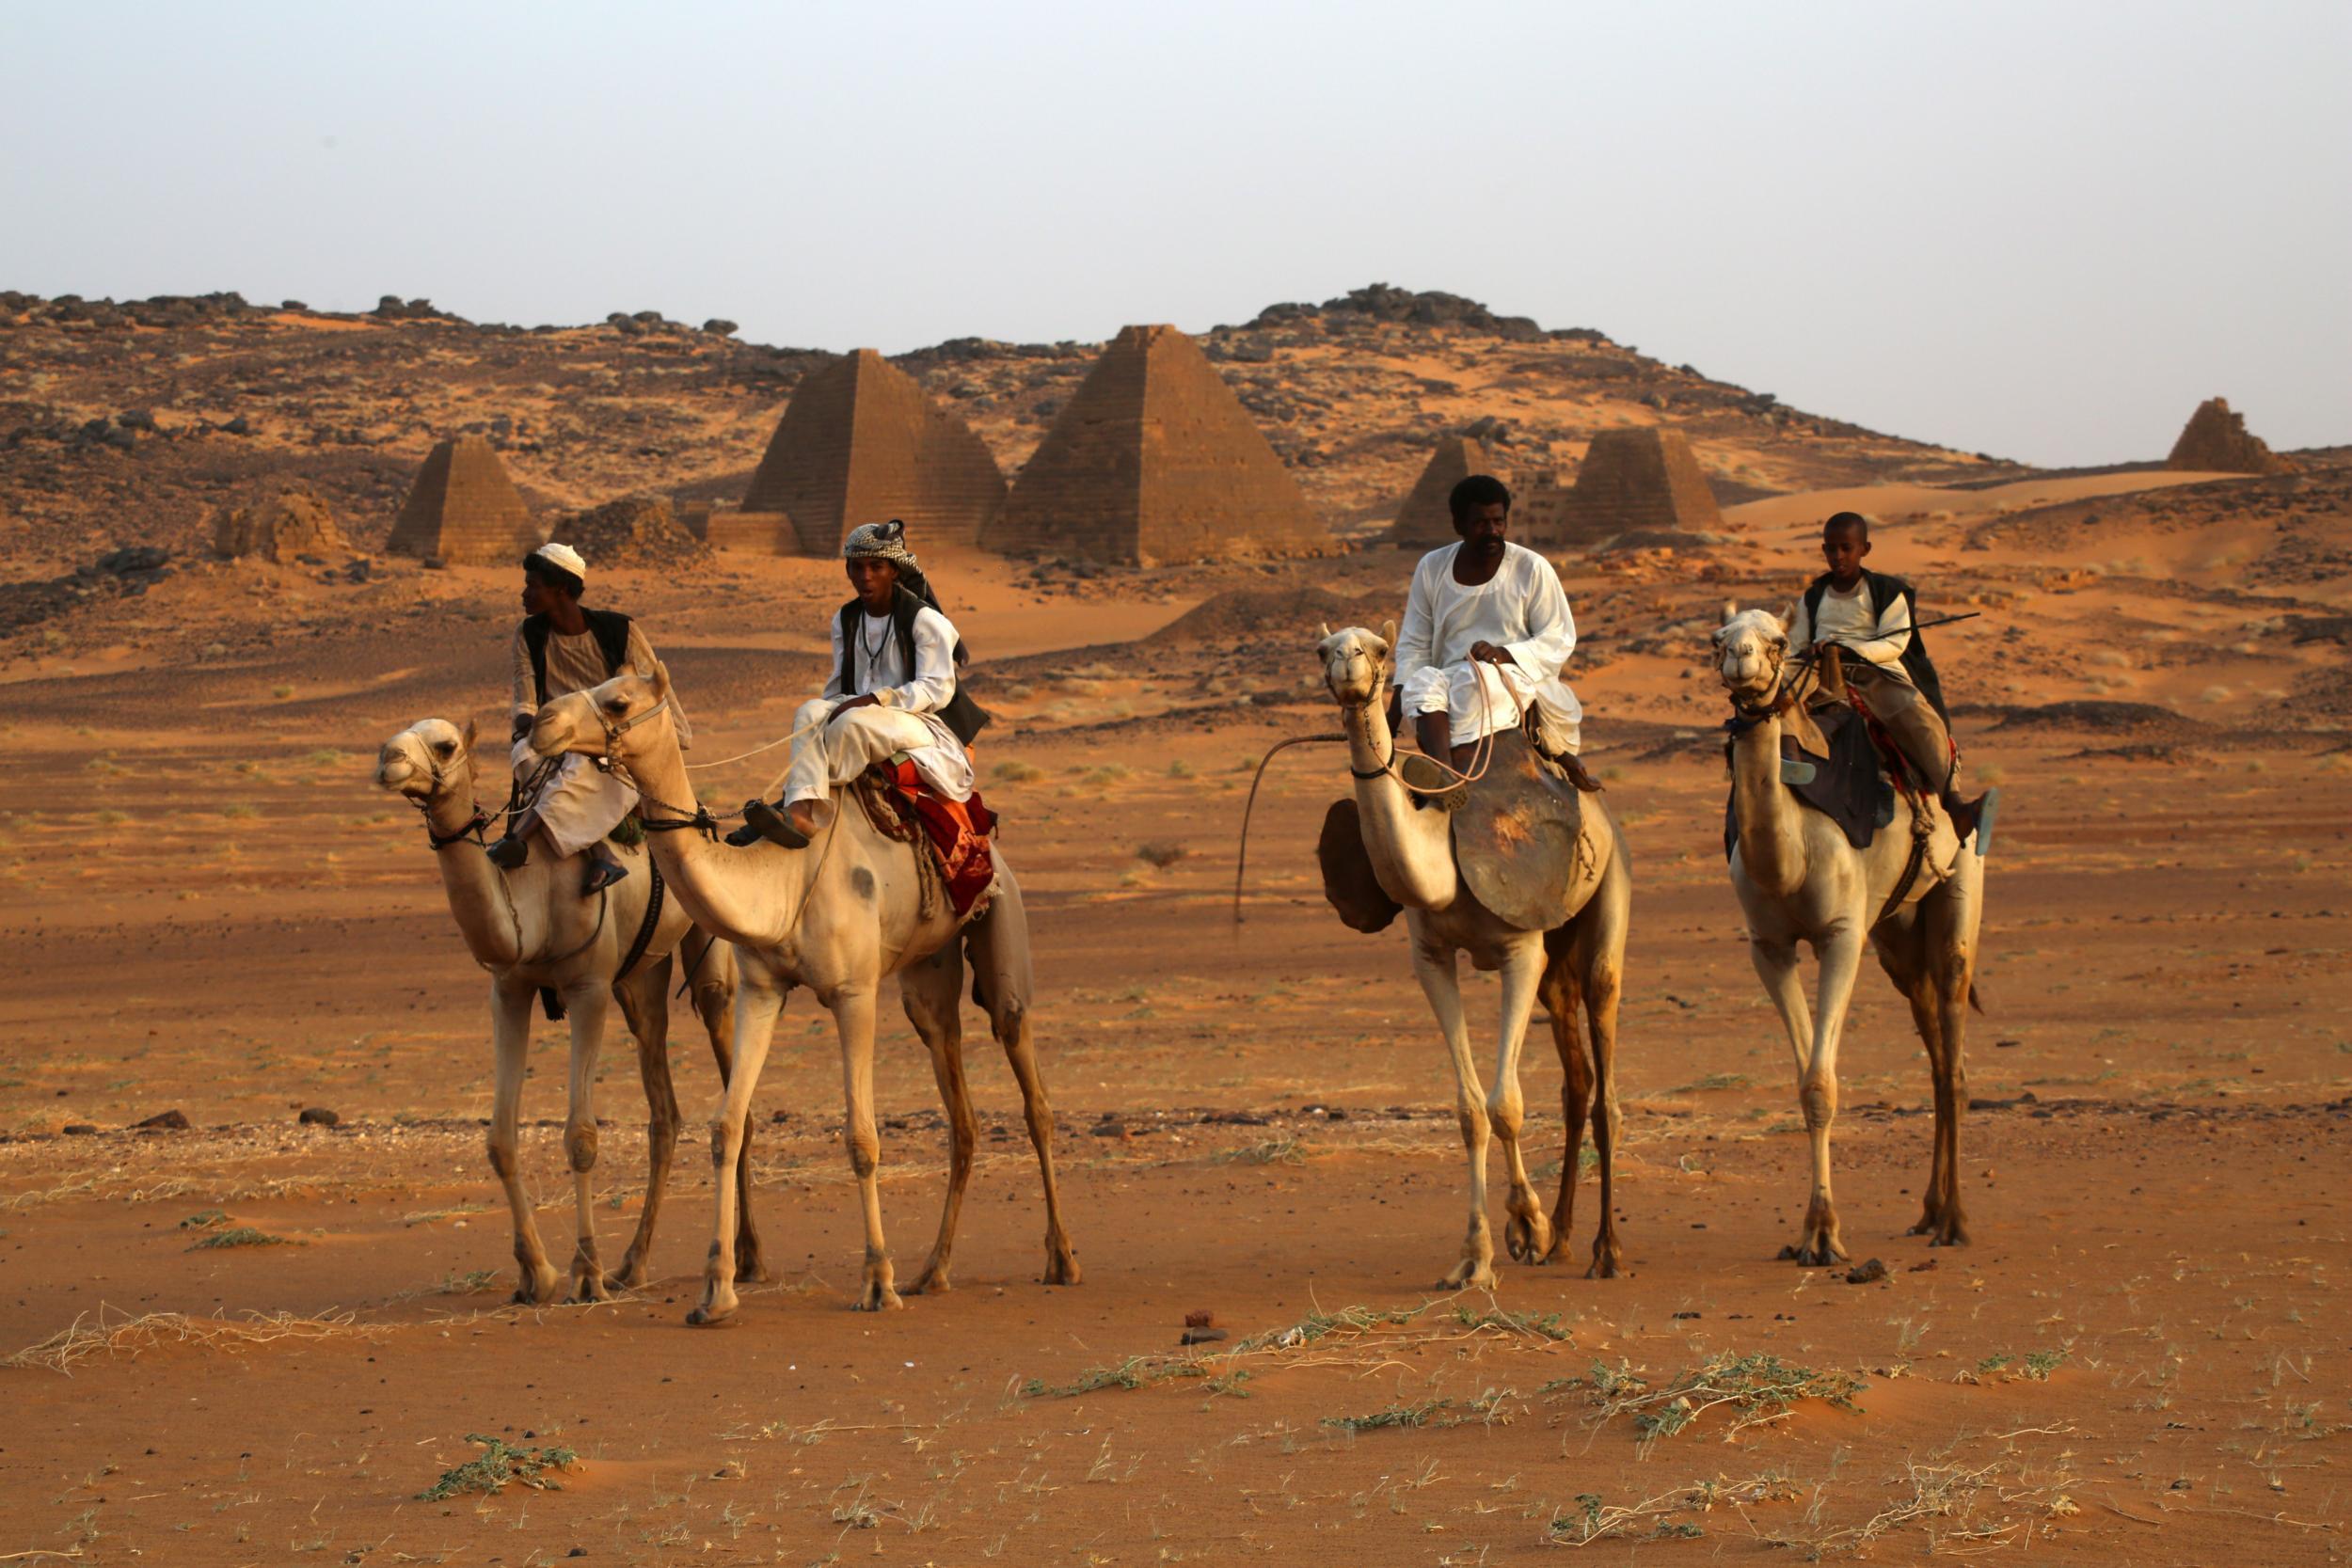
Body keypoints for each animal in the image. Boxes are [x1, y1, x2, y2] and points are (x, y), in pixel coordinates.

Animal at [369, 719, 762, 1307]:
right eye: (393, 739)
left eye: (445, 745)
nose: (388, 761)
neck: (531, 901)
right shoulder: (509, 990)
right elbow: (500, 1140)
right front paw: (536, 1273)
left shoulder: (587, 987)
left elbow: (580, 1137)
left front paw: (584, 1272)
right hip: (640, 980)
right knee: (663, 1112)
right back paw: (633, 1266)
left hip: (703, 946)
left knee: (729, 1057)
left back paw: (748, 1257)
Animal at [529, 662, 1077, 1325]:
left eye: (618, 700)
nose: (541, 722)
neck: (783, 879)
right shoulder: (761, 988)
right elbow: (727, 1127)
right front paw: (715, 1292)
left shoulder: (853, 992)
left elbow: (862, 1138)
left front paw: (877, 1282)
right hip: (928, 973)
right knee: (960, 1106)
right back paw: (933, 1271)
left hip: (1000, 926)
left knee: (1030, 1085)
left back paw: (1060, 1260)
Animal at [1317, 625, 1628, 1288]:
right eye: (1322, 651)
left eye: (1375, 650)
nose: (1348, 667)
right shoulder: (1431, 957)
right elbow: (1468, 1111)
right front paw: (1475, 1257)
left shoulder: (1519, 952)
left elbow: (1505, 1103)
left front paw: (1526, 1227)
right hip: (1554, 961)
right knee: (1577, 1083)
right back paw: (1565, 1240)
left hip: (1609, 893)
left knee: (1605, 1066)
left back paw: (1605, 1250)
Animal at [1712, 606, 1985, 1269]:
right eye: (1715, 639)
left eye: (1777, 642)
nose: (1741, 660)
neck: (1789, 857)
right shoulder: (1769, 947)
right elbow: (1807, 1085)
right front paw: (1811, 1233)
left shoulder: (1840, 935)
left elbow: (1823, 1085)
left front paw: (1824, 1234)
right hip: (1894, 933)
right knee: (1933, 1043)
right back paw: (1928, 1211)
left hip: (1960, 886)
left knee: (1954, 1058)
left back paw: (1955, 1221)